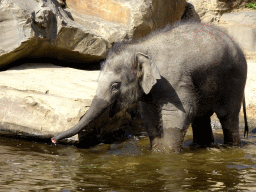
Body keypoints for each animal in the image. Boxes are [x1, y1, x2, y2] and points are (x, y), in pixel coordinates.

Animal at [52, 21, 248, 152]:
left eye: (115, 85)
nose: (53, 140)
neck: (141, 46)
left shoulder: (174, 82)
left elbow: (180, 113)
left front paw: (167, 154)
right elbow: (149, 116)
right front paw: (157, 151)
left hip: (235, 80)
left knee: (227, 115)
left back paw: (230, 147)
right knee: (201, 117)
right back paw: (202, 146)